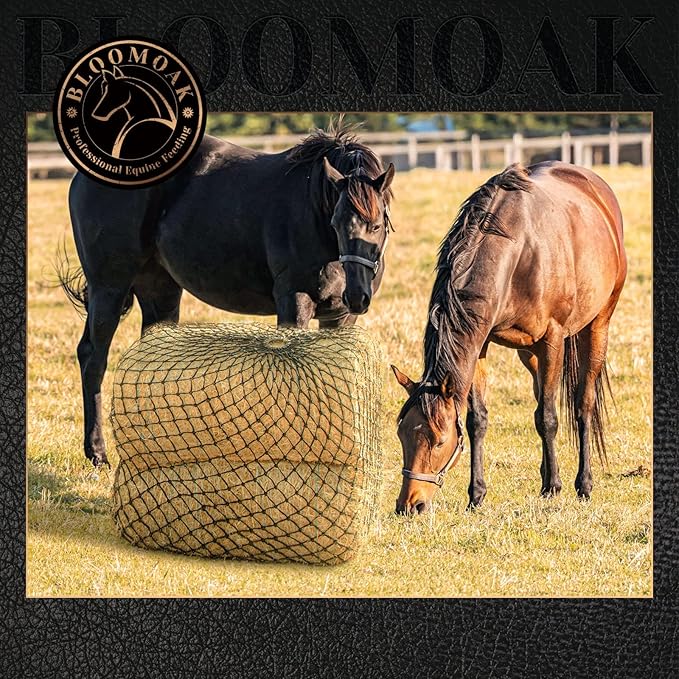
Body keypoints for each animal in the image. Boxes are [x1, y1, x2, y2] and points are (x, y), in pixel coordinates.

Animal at [58, 121, 395, 466]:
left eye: (377, 224)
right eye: (336, 221)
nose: (357, 295)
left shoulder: (340, 317)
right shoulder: (294, 303)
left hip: (160, 291)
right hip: (108, 288)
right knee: (94, 359)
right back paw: (97, 452)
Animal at [391, 161, 626, 514]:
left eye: (439, 440)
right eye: (402, 434)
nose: (409, 504)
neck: (519, 252)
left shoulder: (553, 338)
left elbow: (549, 417)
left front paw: (554, 487)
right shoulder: (481, 342)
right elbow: (478, 420)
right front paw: (476, 495)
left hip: (598, 325)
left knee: (582, 403)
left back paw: (582, 484)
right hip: (528, 352)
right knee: (541, 395)